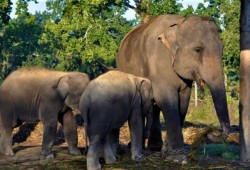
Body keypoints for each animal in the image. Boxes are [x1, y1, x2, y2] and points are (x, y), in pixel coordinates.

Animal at [116, 14, 231, 161]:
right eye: (198, 50)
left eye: (222, 49)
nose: (210, 132)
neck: (178, 24)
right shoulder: (158, 63)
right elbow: (168, 100)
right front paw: (178, 158)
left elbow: (183, 101)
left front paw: (168, 152)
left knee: (154, 108)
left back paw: (155, 148)